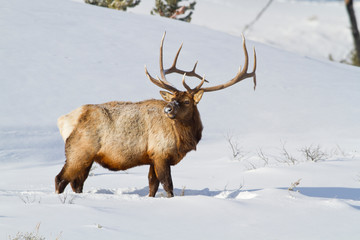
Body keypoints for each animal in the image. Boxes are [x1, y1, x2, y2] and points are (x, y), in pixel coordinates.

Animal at [54, 32, 256, 197]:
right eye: (173, 98)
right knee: (60, 178)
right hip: (79, 150)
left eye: (187, 101)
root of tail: (64, 120)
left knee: (77, 183)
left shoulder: (152, 157)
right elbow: (168, 186)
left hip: (87, 157)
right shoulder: (161, 153)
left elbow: (152, 186)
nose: (168, 109)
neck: (184, 139)